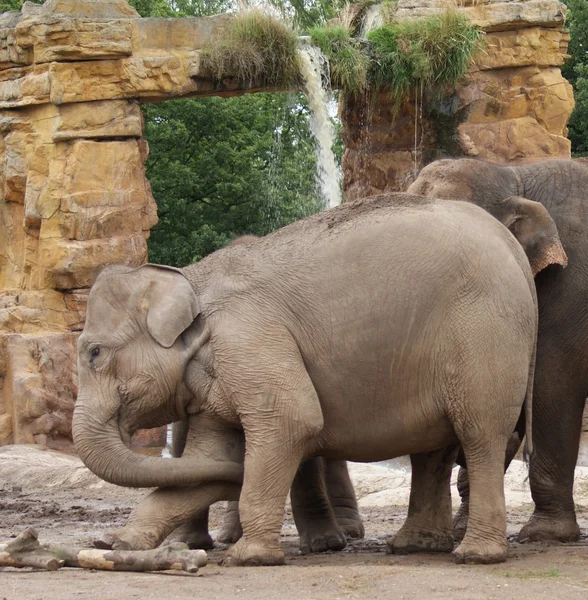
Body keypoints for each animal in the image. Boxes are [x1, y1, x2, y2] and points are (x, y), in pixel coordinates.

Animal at [70, 193, 560, 568]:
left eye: (93, 353)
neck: (189, 276)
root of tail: (511, 247)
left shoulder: (249, 338)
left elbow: (293, 421)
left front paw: (248, 558)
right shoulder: (220, 371)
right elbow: (212, 456)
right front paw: (113, 544)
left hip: (484, 335)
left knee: (480, 434)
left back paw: (474, 555)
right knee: (435, 450)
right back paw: (413, 546)